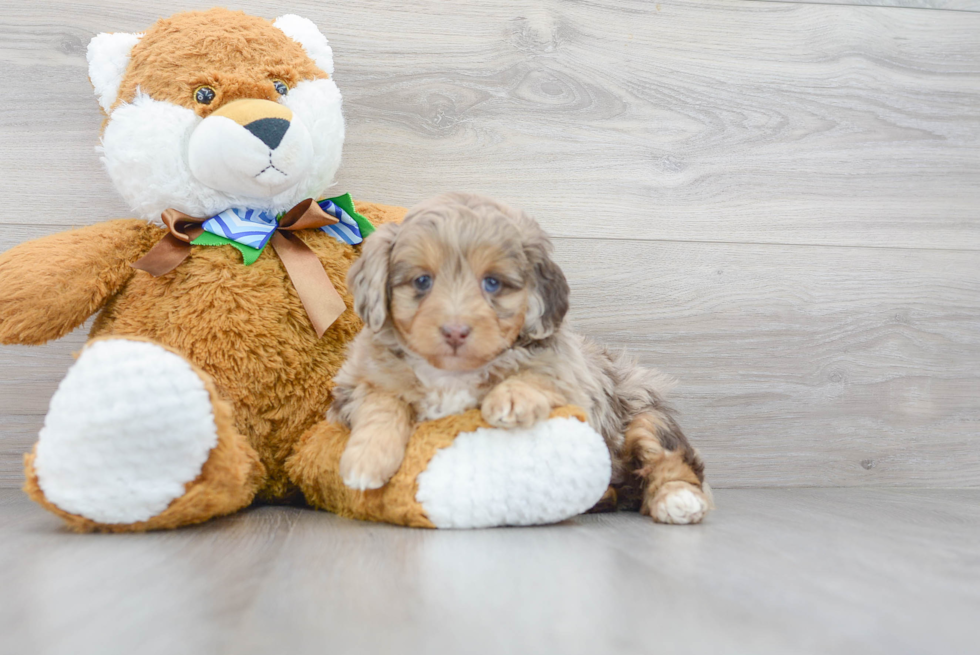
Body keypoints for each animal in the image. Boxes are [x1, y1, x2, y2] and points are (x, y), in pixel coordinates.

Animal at [330, 192, 712, 524]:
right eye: (422, 281)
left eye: (492, 283)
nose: (455, 331)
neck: (452, 374)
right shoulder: (354, 384)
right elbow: (382, 401)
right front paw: (366, 459)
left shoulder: (573, 381)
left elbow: (538, 374)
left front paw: (512, 397)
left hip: (643, 412)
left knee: (671, 459)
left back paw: (677, 499)